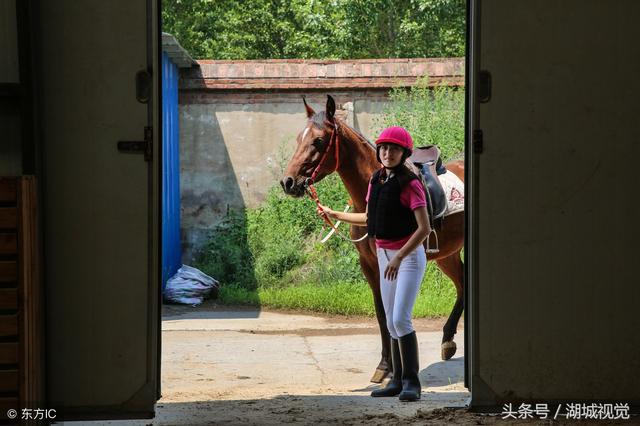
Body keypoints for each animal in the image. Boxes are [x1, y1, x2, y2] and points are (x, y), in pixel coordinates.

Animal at [282, 96, 464, 382]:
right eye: (299, 138)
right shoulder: (369, 264)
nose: (288, 182)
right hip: (448, 253)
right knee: (462, 286)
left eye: (319, 141)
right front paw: (385, 366)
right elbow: (381, 314)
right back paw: (447, 341)